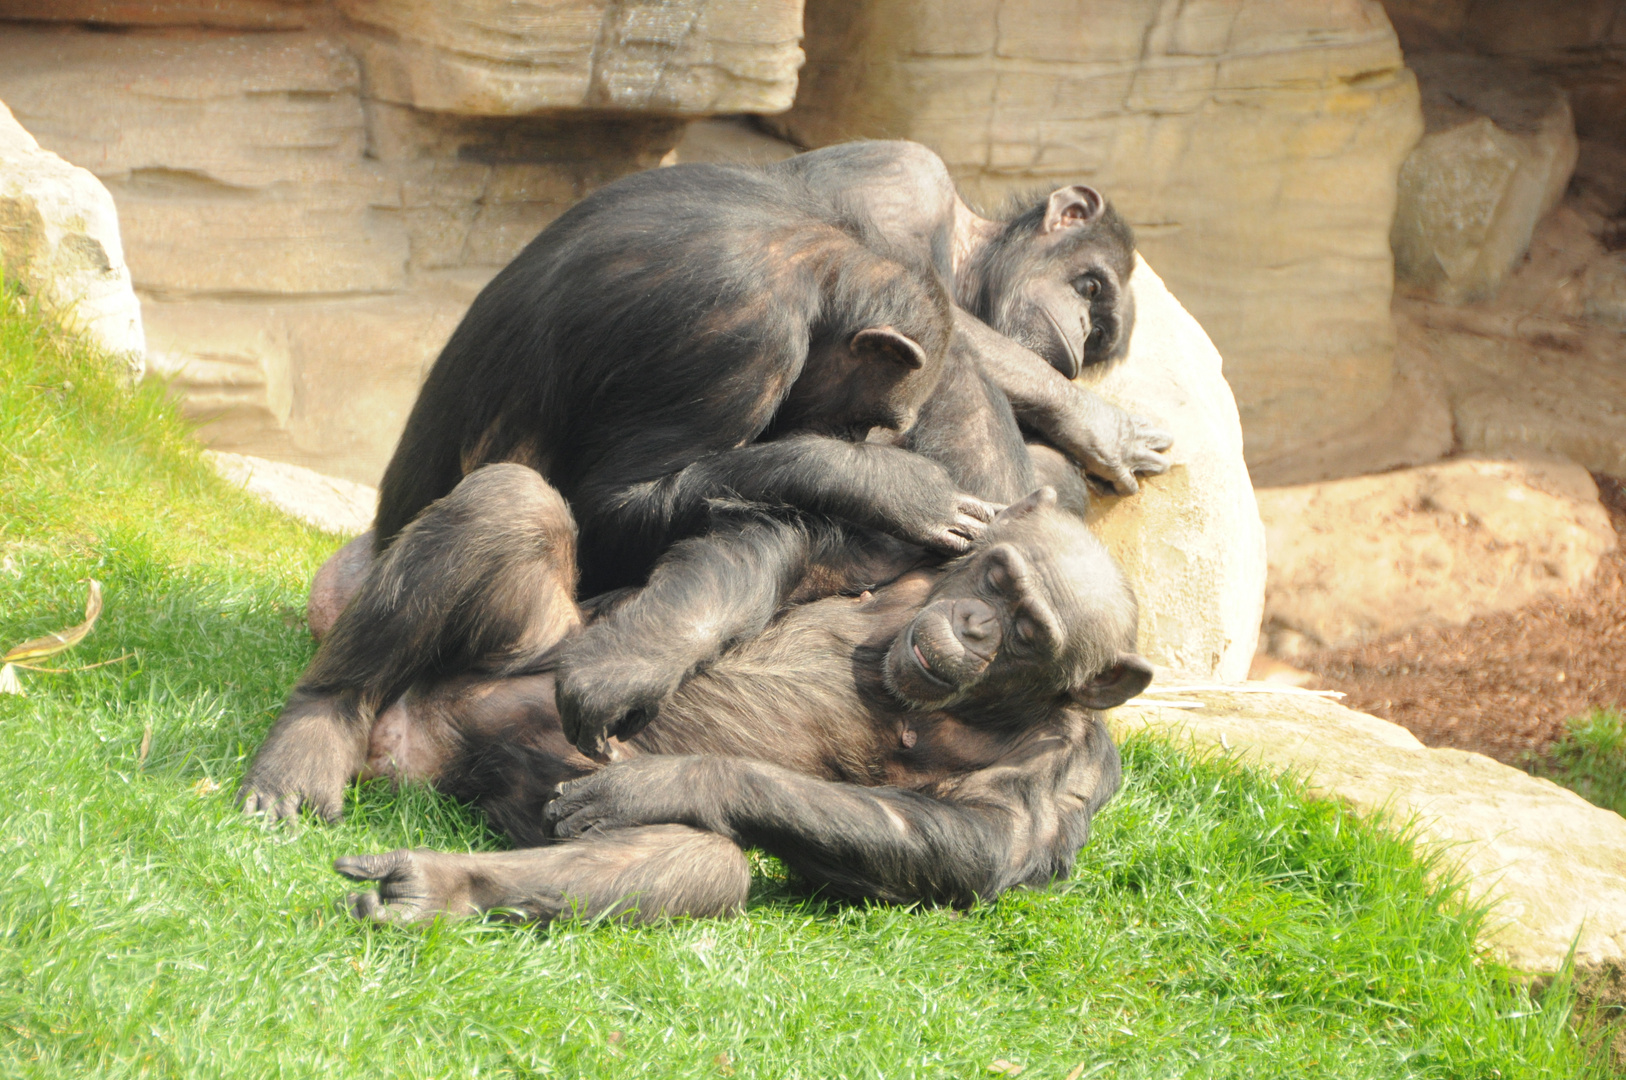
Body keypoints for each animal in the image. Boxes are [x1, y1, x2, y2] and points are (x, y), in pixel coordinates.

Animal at [317, 468, 1151, 923]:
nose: (978, 625)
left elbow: (982, 839)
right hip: (513, 650)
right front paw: (631, 665)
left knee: (703, 861)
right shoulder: (912, 545)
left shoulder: (1069, 767)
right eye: (998, 577)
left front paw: (680, 780)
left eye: (1028, 630)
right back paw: (316, 729)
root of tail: (412, 749)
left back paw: (435, 886)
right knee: (511, 503)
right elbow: (788, 536)